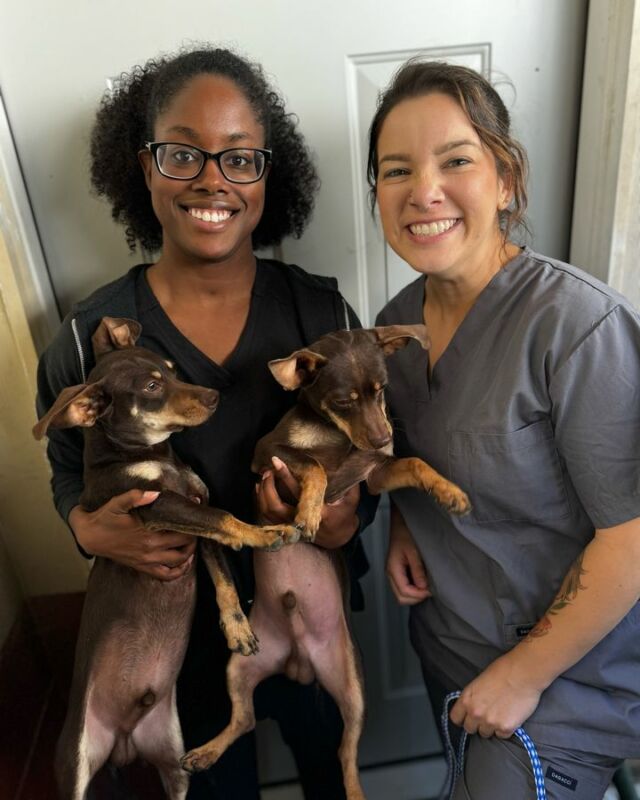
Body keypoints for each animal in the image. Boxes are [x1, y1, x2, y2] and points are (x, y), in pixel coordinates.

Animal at [31, 318, 298, 800]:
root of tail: (121, 743)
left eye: (172, 371)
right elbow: (226, 517)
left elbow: (224, 577)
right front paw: (267, 533)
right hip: (75, 766)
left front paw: (238, 631)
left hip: (173, 762)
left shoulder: (197, 523)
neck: (150, 456)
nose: (213, 397)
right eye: (153, 386)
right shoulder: (158, 507)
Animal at [180, 324, 470, 800]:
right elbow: (314, 465)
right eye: (343, 402)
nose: (382, 438)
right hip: (239, 666)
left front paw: (449, 491)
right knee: (245, 720)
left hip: (353, 689)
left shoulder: (375, 473)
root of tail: (297, 660)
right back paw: (205, 752)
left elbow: (413, 462)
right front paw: (309, 512)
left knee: (344, 754)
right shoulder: (269, 453)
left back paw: (354, 793)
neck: (337, 437)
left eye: (382, 390)